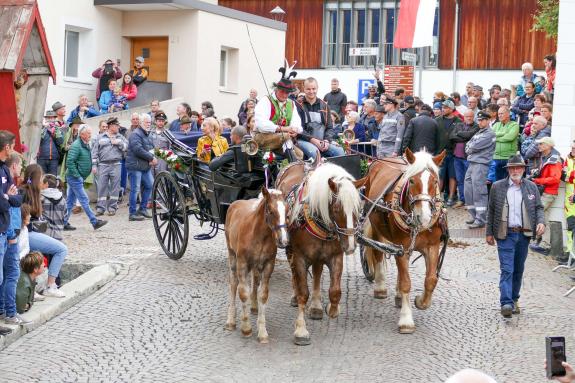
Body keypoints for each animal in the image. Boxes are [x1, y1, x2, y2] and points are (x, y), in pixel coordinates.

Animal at [224, 187, 288, 344]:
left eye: (287, 210)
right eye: (270, 210)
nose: (283, 240)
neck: (260, 236)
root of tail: (235, 203)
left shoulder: (268, 265)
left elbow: (263, 294)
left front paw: (263, 332)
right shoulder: (242, 263)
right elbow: (242, 292)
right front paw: (246, 328)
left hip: (256, 265)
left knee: (255, 279)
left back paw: (254, 306)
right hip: (232, 255)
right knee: (233, 283)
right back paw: (231, 320)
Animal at [276, 160, 362, 346]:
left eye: (358, 208)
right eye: (336, 209)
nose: (351, 246)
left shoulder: (336, 256)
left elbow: (335, 290)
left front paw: (332, 309)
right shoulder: (300, 257)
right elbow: (303, 293)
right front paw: (301, 330)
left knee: (316, 273)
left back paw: (316, 306)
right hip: (290, 249)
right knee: (295, 274)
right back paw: (296, 296)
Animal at [358, 148, 448, 334]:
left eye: (435, 181)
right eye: (412, 180)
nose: (424, 217)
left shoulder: (432, 247)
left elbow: (431, 280)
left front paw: (421, 301)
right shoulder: (402, 248)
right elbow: (407, 282)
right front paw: (406, 320)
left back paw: (399, 296)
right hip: (377, 230)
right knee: (377, 254)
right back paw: (380, 287)